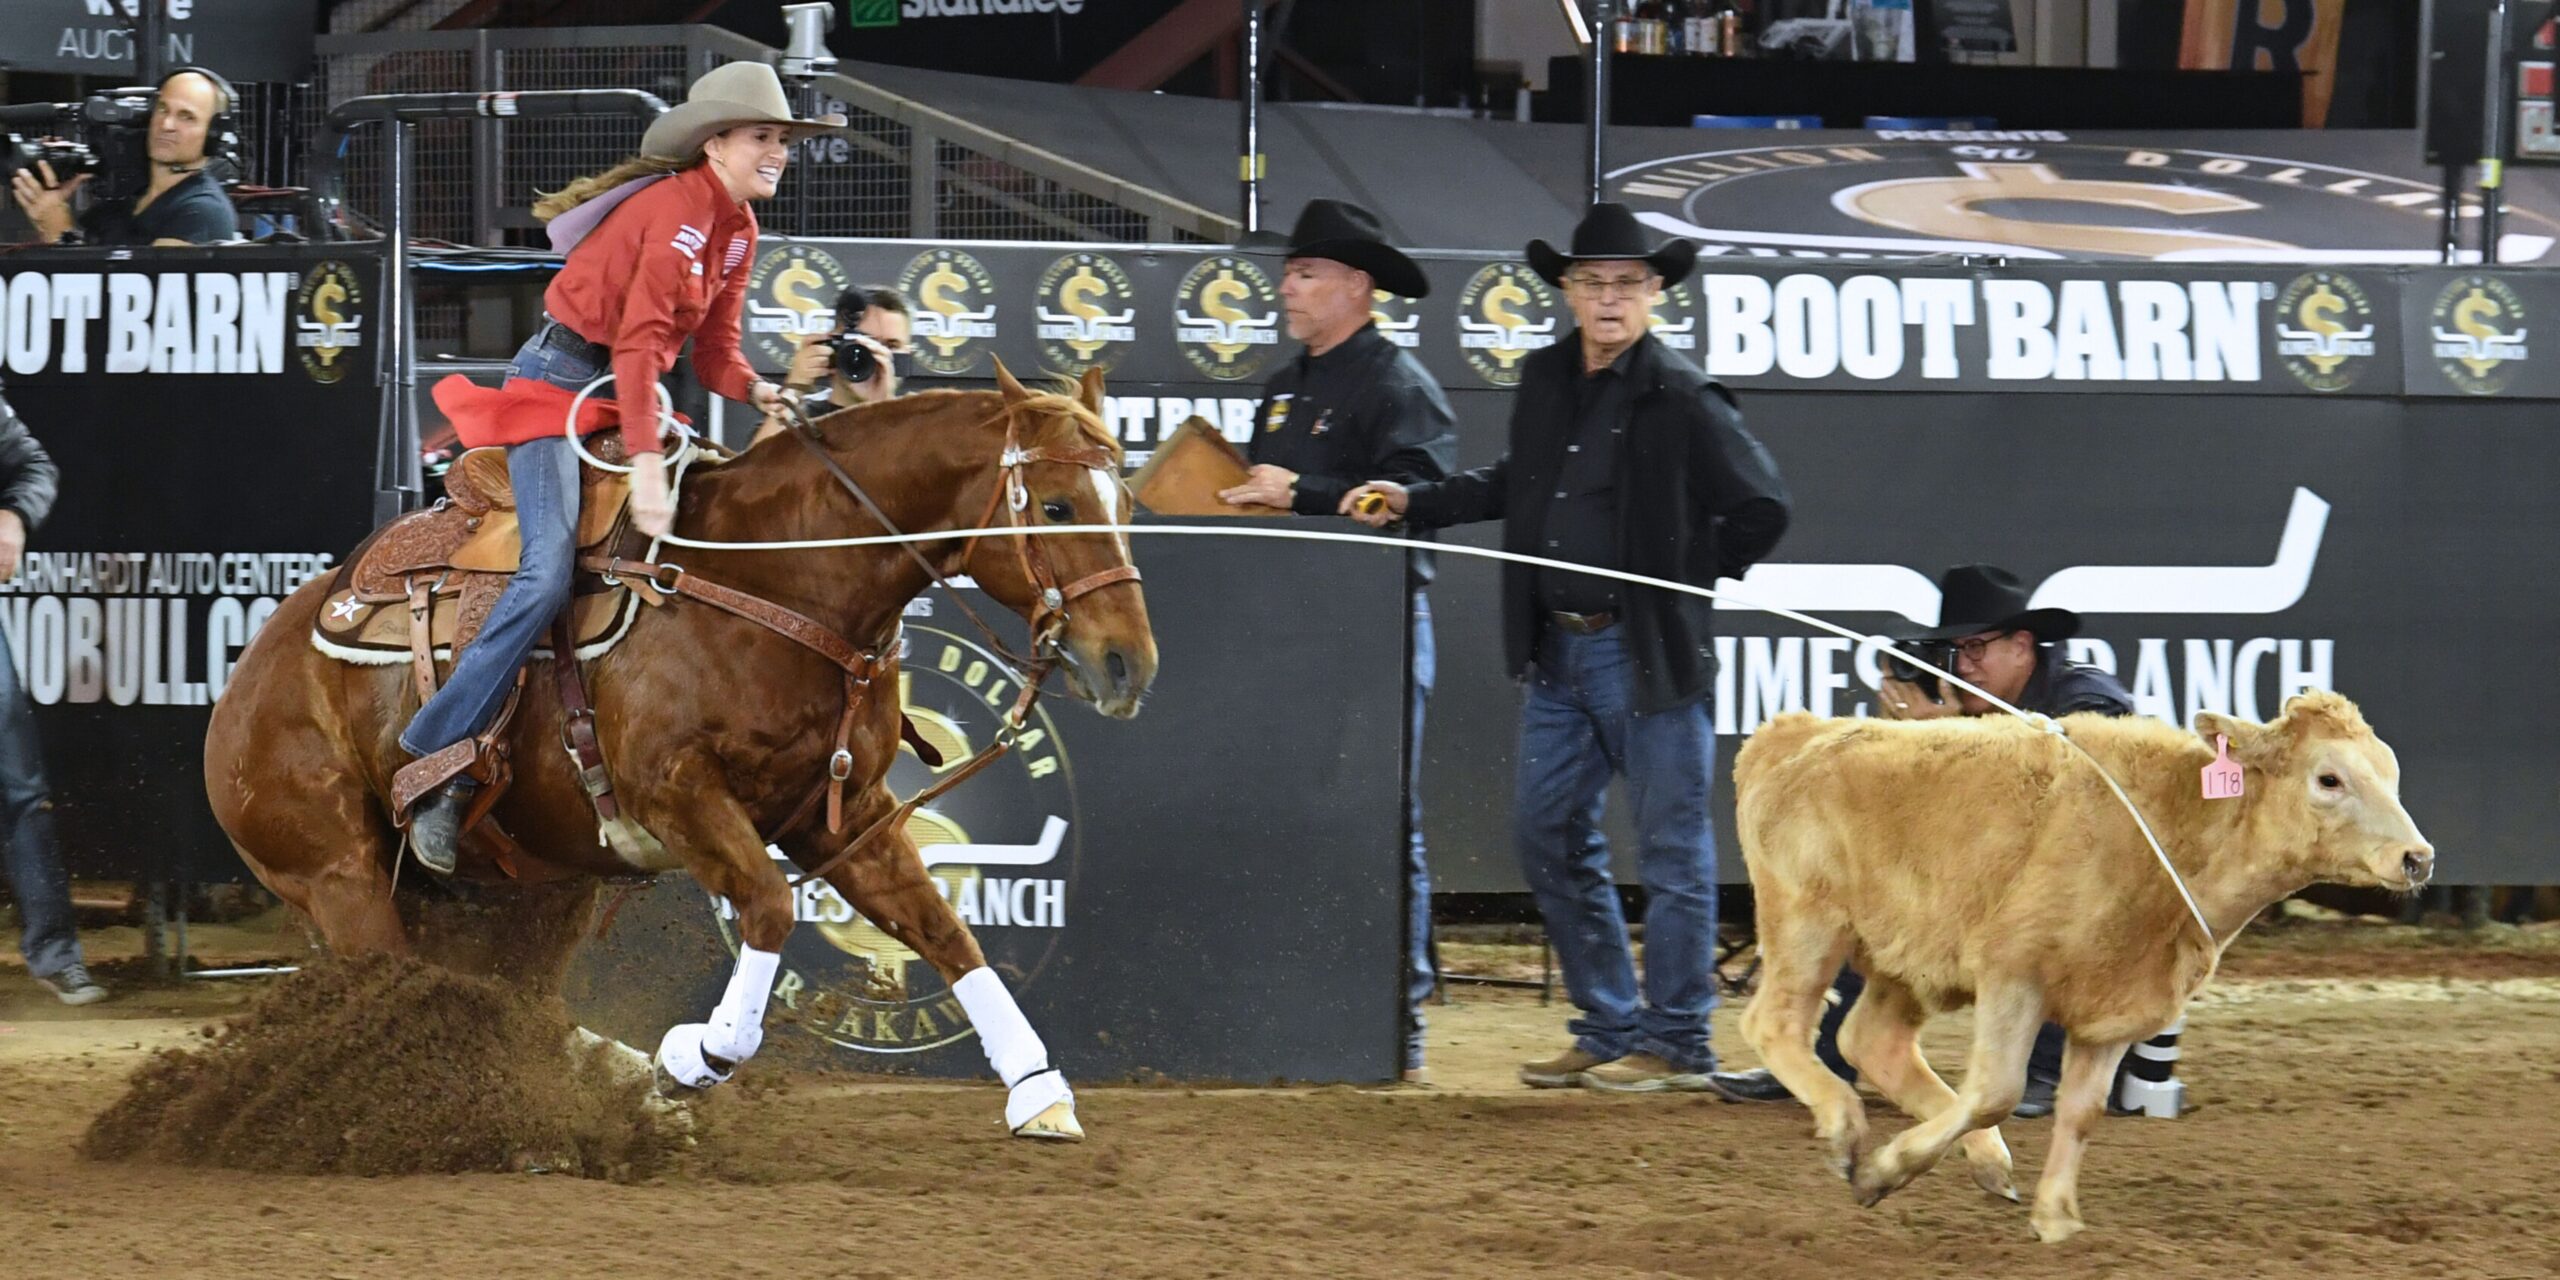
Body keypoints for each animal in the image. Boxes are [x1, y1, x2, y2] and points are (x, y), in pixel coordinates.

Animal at [203, 363, 1157, 1140]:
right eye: (1059, 506)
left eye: (1127, 504)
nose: (1129, 664)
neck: (775, 580)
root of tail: (246, 678)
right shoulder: (677, 794)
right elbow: (769, 907)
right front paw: (698, 1057)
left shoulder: (843, 813)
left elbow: (944, 929)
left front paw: (1038, 1091)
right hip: (343, 879)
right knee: (413, 994)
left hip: (528, 893)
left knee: (505, 1005)